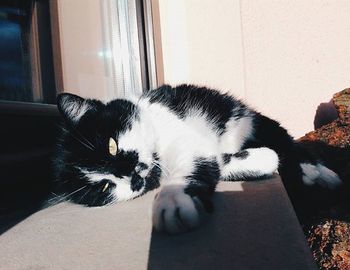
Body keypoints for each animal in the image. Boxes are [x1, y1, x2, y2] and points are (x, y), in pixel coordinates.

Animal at [52, 85, 342, 234]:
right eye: (104, 186)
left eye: (111, 146)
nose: (129, 174)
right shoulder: (204, 149)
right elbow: (218, 161)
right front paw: (259, 160)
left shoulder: (185, 139)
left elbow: (190, 166)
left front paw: (173, 200)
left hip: (250, 120)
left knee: (286, 140)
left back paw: (318, 173)